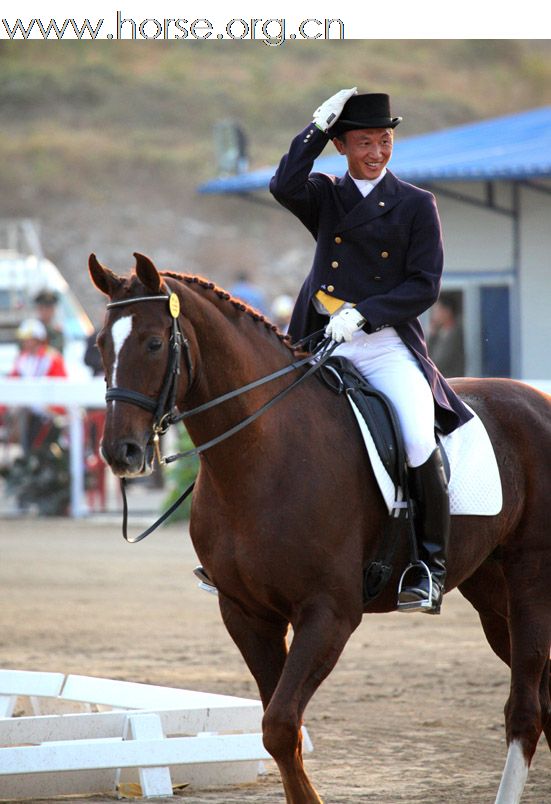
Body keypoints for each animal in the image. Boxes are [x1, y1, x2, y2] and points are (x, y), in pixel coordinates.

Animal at [88, 253, 548, 804]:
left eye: (155, 343)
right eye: (100, 344)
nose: (121, 452)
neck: (262, 454)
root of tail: (537, 400)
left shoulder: (329, 612)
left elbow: (281, 725)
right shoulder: (246, 613)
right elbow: (278, 731)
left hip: (529, 580)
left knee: (525, 710)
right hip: (491, 591)